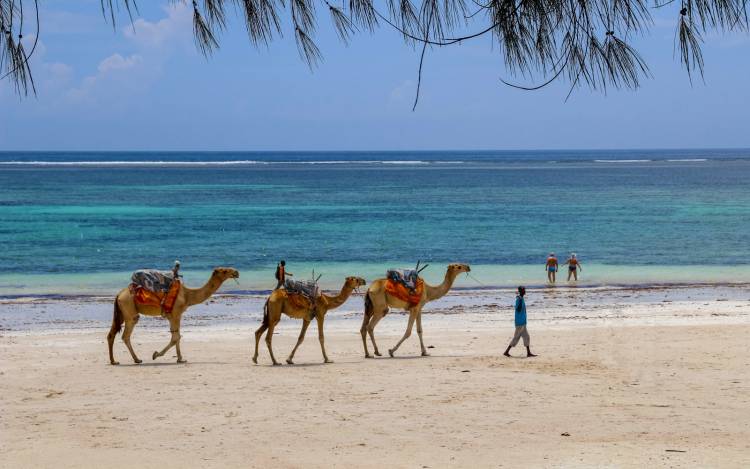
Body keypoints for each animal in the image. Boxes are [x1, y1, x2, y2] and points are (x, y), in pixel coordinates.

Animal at [106, 266, 238, 364]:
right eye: (224, 270)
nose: (236, 272)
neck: (187, 295)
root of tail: (119, 294)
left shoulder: (172, 316)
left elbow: (177, 336)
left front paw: (180, 359)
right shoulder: (176, 314)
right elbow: (176, 337)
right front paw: (156, 355)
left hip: (121, 312)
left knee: (111, 334)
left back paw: (114, 361)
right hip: (129, 311)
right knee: (125, 335)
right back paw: (136, 359)